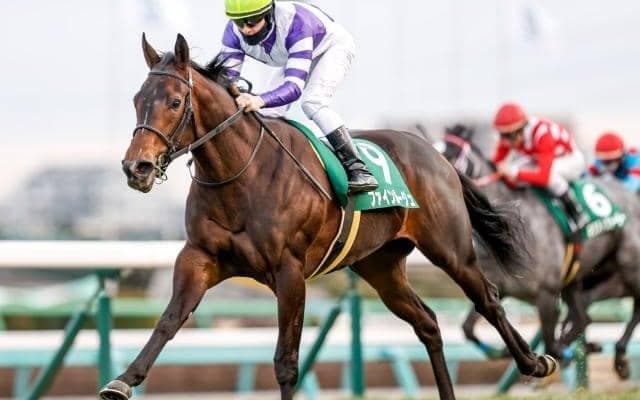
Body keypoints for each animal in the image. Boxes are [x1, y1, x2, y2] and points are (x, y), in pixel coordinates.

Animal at [98, 34, 557, 400]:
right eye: (137, 101)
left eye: (175, 102)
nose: (136, 167)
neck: (240, 176)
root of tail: (436, 155)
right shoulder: (198, 258)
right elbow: (168, 321)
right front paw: (122, 380)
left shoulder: (289, 271)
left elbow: (286, 361)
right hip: (381, 266)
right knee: (427, 323)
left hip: (451, 250)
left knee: (488, 299)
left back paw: (537, 363)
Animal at [438, 125, 640, 378]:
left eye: (451, 152)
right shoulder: (500, 286)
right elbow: (467, 328)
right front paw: (500, 352)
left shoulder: (547, 292)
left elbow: (550, 342)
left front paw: (557, 356)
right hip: (578, 277)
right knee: (583, 317)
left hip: (629, 267)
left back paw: (620, 356)